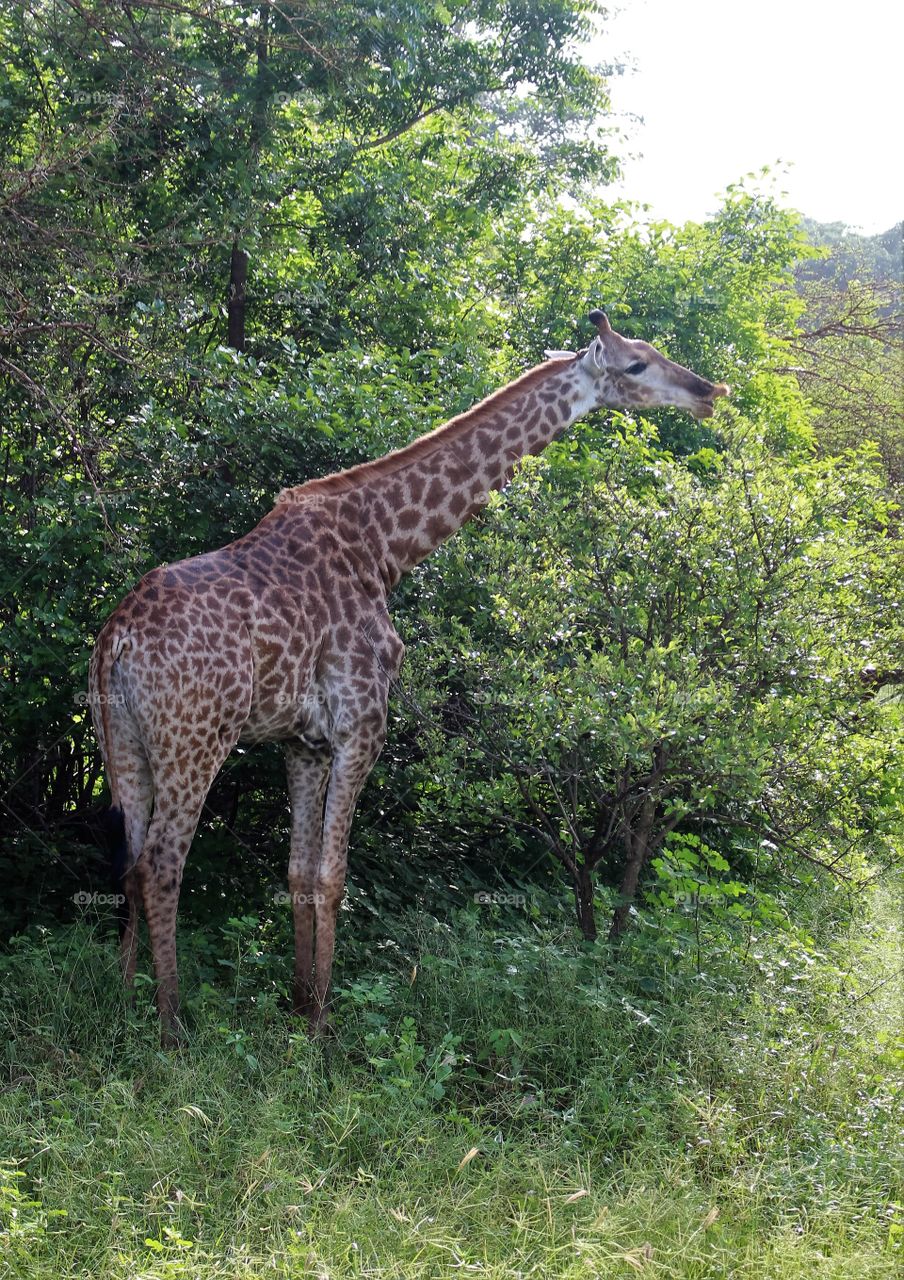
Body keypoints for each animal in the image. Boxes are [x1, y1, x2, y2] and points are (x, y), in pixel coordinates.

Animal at [89, 309, 727, 1039]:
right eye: (636, 365)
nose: (709, 392)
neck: (387, 548)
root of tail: (115, 638)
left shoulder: (303, 742)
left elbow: (298, 873)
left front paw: (299, 1006)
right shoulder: (361, 726)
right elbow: (333, 876)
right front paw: (322, 1029)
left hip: (122, 742)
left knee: (130, 859)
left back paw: (122, 997)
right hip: (196, 739)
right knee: (163, 863)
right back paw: (171, 1026)